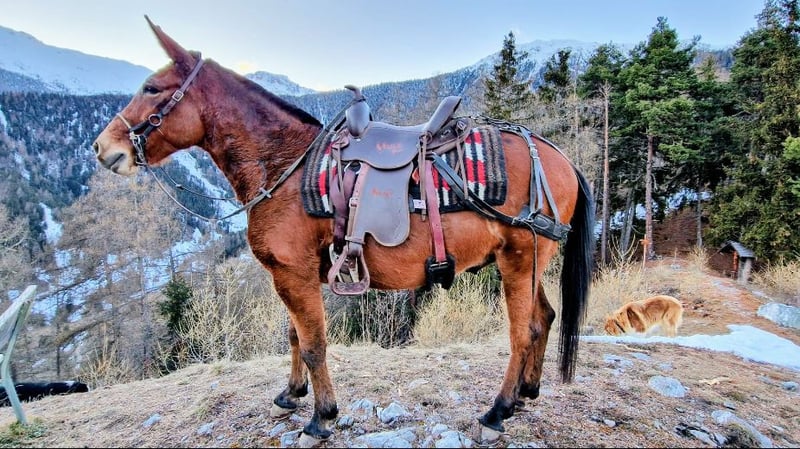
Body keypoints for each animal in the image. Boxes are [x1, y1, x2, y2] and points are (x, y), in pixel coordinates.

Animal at [92, 17, 595, 446]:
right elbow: (295, 336)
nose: (102, 148)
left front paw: (322, 417)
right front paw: (291, 394)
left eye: (151, 88)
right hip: (531, 264)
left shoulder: (291, 274)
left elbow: (314, 345)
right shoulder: (296, 275)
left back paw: (498, 410)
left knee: (523, 331)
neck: (284, 163)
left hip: (518, 261)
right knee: (545, 318)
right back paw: (526, 393)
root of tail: (560, 157)